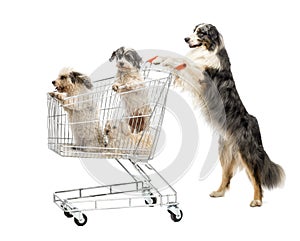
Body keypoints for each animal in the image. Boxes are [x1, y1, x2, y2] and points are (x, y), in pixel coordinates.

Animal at [154, 23, 284, 206]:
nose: (185, 39)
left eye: (201, 32)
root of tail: (253, 121)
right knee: (227, 175)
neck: (207, 50)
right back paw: (219, 192)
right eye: (193, 30)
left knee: (255, 176)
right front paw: (160, 58)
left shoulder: (202, 76)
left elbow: (186, 63)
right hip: (226, 153)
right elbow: (181, 60)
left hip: (246, 152)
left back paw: (257, 200)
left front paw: (165, 60)